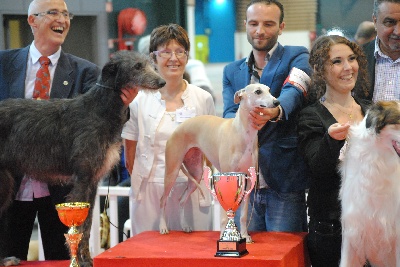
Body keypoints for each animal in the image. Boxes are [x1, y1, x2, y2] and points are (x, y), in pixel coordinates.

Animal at [0, 51, 166, 266]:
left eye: (151, 65)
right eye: (137, 66)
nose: (162, 82)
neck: (99, 108)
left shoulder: (93, 181)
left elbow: (86, 226)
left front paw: (86, 258)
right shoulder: (82, 178)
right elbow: (79, 227)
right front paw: (79, 258)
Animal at [159, 84, 278, 243]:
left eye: (269, 90)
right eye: (258, 91)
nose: (277, 102)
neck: (241, 132)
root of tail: (177, 129)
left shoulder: (247, 179)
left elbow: (243, 215)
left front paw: (245, 236)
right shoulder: (226, 178)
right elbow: (224, 216)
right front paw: (224, 236)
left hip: (196, 173)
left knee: (181, 200)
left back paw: (184, 226)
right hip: (172, 170)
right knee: (163, 200)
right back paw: (163, 227)